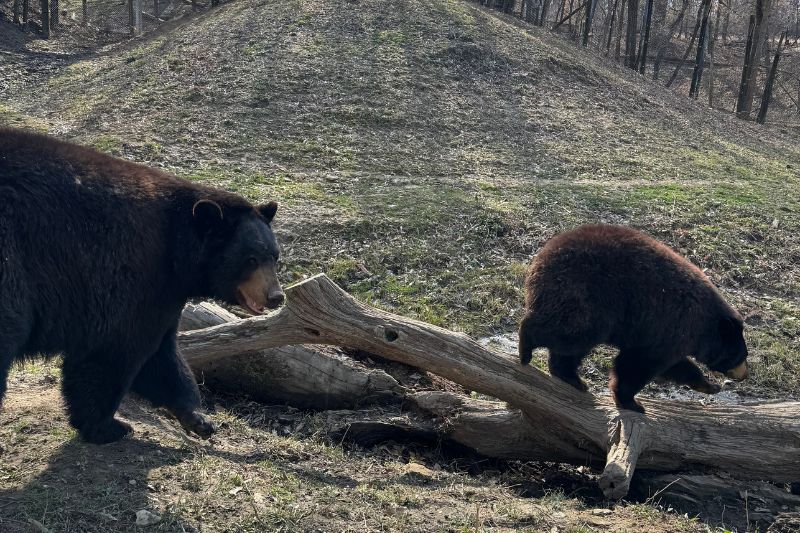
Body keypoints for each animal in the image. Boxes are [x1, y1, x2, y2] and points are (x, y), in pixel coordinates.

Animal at [0, 128, 285, 444]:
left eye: (274, 256)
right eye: (250, 259)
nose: (276, 296)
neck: (177, 247)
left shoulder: (165, 291)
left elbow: (163, 355)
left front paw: (198, 419)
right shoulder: (137, 274)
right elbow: (117, 348)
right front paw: (108, 426)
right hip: (11, 260)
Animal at [518, 224, 749, 413]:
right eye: (740, 355)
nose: (744, 374)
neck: (704, 328)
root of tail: (541, 259)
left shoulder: (666, 336)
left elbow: (675, 365)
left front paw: (709, 385)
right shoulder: (671, 326)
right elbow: (637, 364)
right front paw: (632, 403)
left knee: (571, 347)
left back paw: (572, 379)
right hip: (587, 297)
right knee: (568, 332)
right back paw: (526, 347)